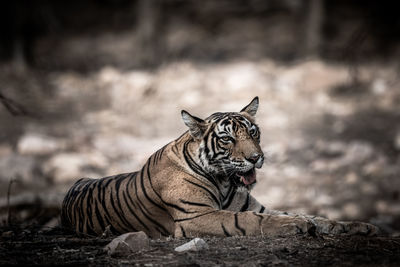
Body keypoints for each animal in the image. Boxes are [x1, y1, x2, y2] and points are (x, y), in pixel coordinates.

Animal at [60, 98, 378, 239]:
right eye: (228, 139)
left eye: (254, 133)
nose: (256, 158)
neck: (225, 181)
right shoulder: (195, 217)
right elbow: (247, 220)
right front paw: (293, 225)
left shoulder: (256, 206)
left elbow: (313, 215)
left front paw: (360, 226)